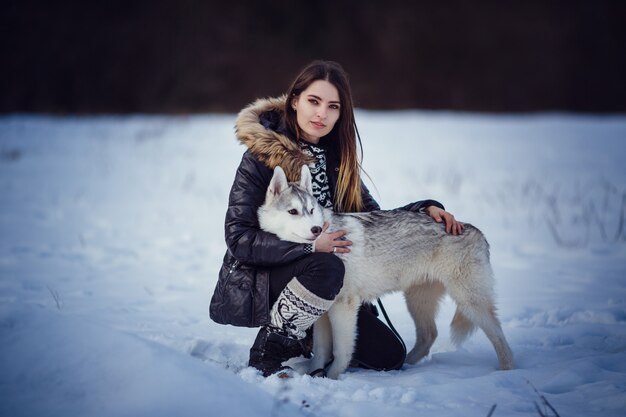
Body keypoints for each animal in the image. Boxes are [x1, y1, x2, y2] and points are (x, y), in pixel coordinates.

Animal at [258, 165, 512, 376]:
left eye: (311, 210)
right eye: (293, 212)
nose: (316, 230)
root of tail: (477, 231)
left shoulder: (344, 306)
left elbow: (341, 351)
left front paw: (332, 377)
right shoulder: (324, 311)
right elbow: (321, 351)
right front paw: (315, 374)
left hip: (469, 302)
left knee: (500, 338)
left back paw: (506, 372)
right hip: (418, 301)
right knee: (429, 335)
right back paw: (404, 366)